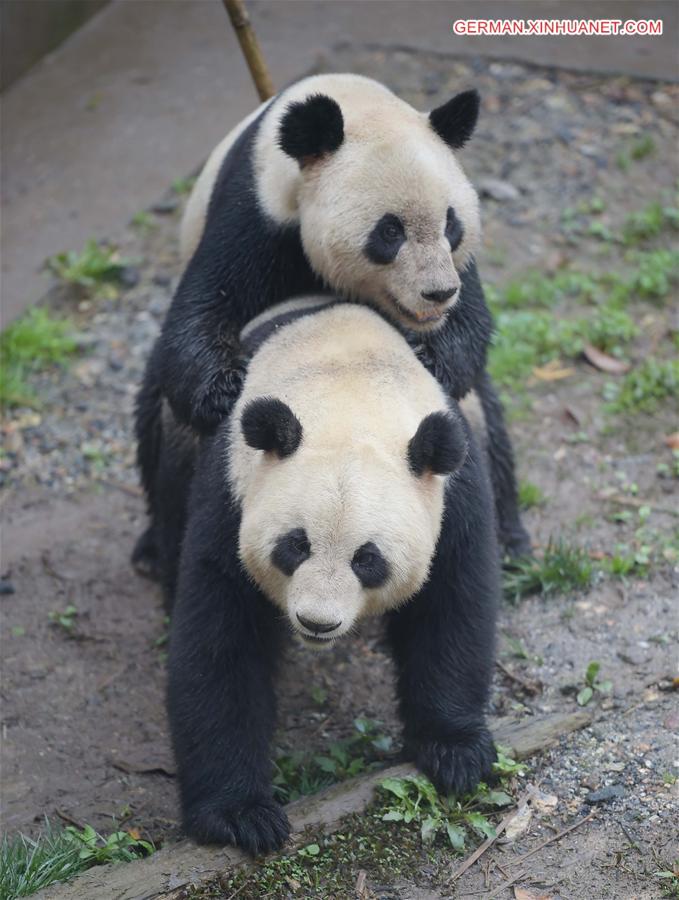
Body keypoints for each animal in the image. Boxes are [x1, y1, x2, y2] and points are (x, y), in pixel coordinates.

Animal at [137, 70, 532, 580]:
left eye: (451, 224)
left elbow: (471, 330)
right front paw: (226, 388)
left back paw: (510, 542)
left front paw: (430, 356)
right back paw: (150, 550)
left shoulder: (459, 270)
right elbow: (201, 309)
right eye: (390, 231)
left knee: (487, 421)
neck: (351, 103)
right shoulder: (254, 214)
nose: (438, 293)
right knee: (154, 409)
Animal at [158, 298, 500, 856]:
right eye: (296, 545)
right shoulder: (231, 489)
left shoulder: (453, 495)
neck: (348, 392)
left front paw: (456, 752)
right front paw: (240, 813)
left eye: (368, 559)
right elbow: (221, 639)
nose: (317, 623)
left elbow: (451, 609)